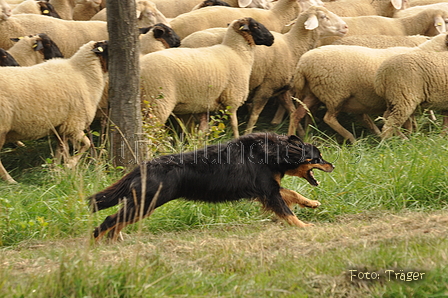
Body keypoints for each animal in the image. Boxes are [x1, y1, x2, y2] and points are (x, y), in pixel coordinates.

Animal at [0, 39, 108, 184]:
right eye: (109, 48)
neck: (84, 76)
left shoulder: (60, 127)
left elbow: (61, 150)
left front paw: (56, 171)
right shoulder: (74, 124)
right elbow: (86, 143)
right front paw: (69, 164)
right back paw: (11, 181)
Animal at [89, 133, 334, 240]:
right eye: (318, 158)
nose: (332, 165)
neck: (273, 152)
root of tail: (143, 166)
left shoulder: (266, 188)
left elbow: (292, 193)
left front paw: (312, 203)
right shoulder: (268, 191)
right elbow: (287, 211)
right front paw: (304, 226)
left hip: (142, 203)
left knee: (117, 221)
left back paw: (114, 240)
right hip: (147, 202)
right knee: (110, 220)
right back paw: (96, 242)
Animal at [140, 18, 274, 139]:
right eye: (255, 26)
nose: (272, 38)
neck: (237, 52)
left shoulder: (205, 103)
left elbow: (204, 128)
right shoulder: (232, 99)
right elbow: (234, 124)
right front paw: (236, 138)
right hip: (157, 104)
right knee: (149, 133)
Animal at [288, 32, 448, 143]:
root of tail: (302, 64)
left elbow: (409, 121)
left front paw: (411, 134)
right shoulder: (405, 95)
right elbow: (406, 121)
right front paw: (409, 136)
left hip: (315, 94)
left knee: (297, 114)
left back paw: (294, 138)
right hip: (335, 94)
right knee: (329, 118)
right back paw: (353, 139)